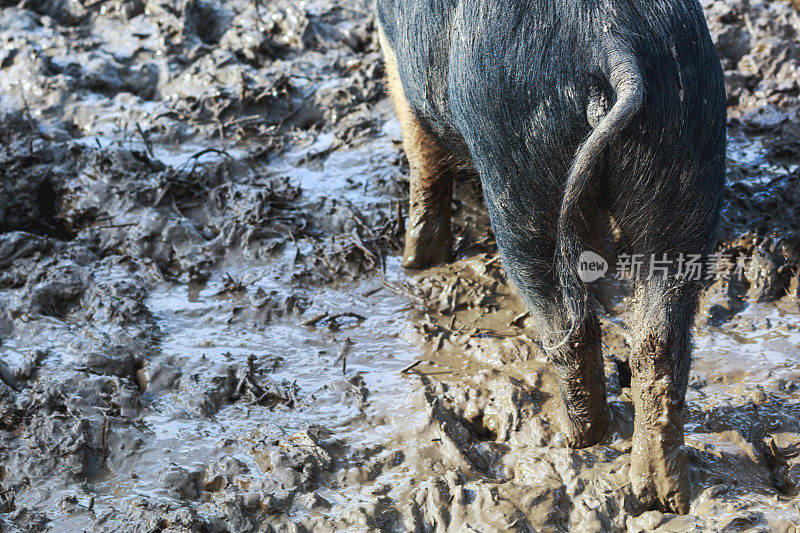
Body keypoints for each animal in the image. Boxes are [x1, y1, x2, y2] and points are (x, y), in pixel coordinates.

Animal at [378, 1, 728, 516]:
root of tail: (612, 45)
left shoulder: (396, 62)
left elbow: (422, 157)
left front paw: (418, 263)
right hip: (687, 159)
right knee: (660, 337)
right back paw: (661, 497)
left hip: (519, 175)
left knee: (567, 320)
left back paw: (576, 438)